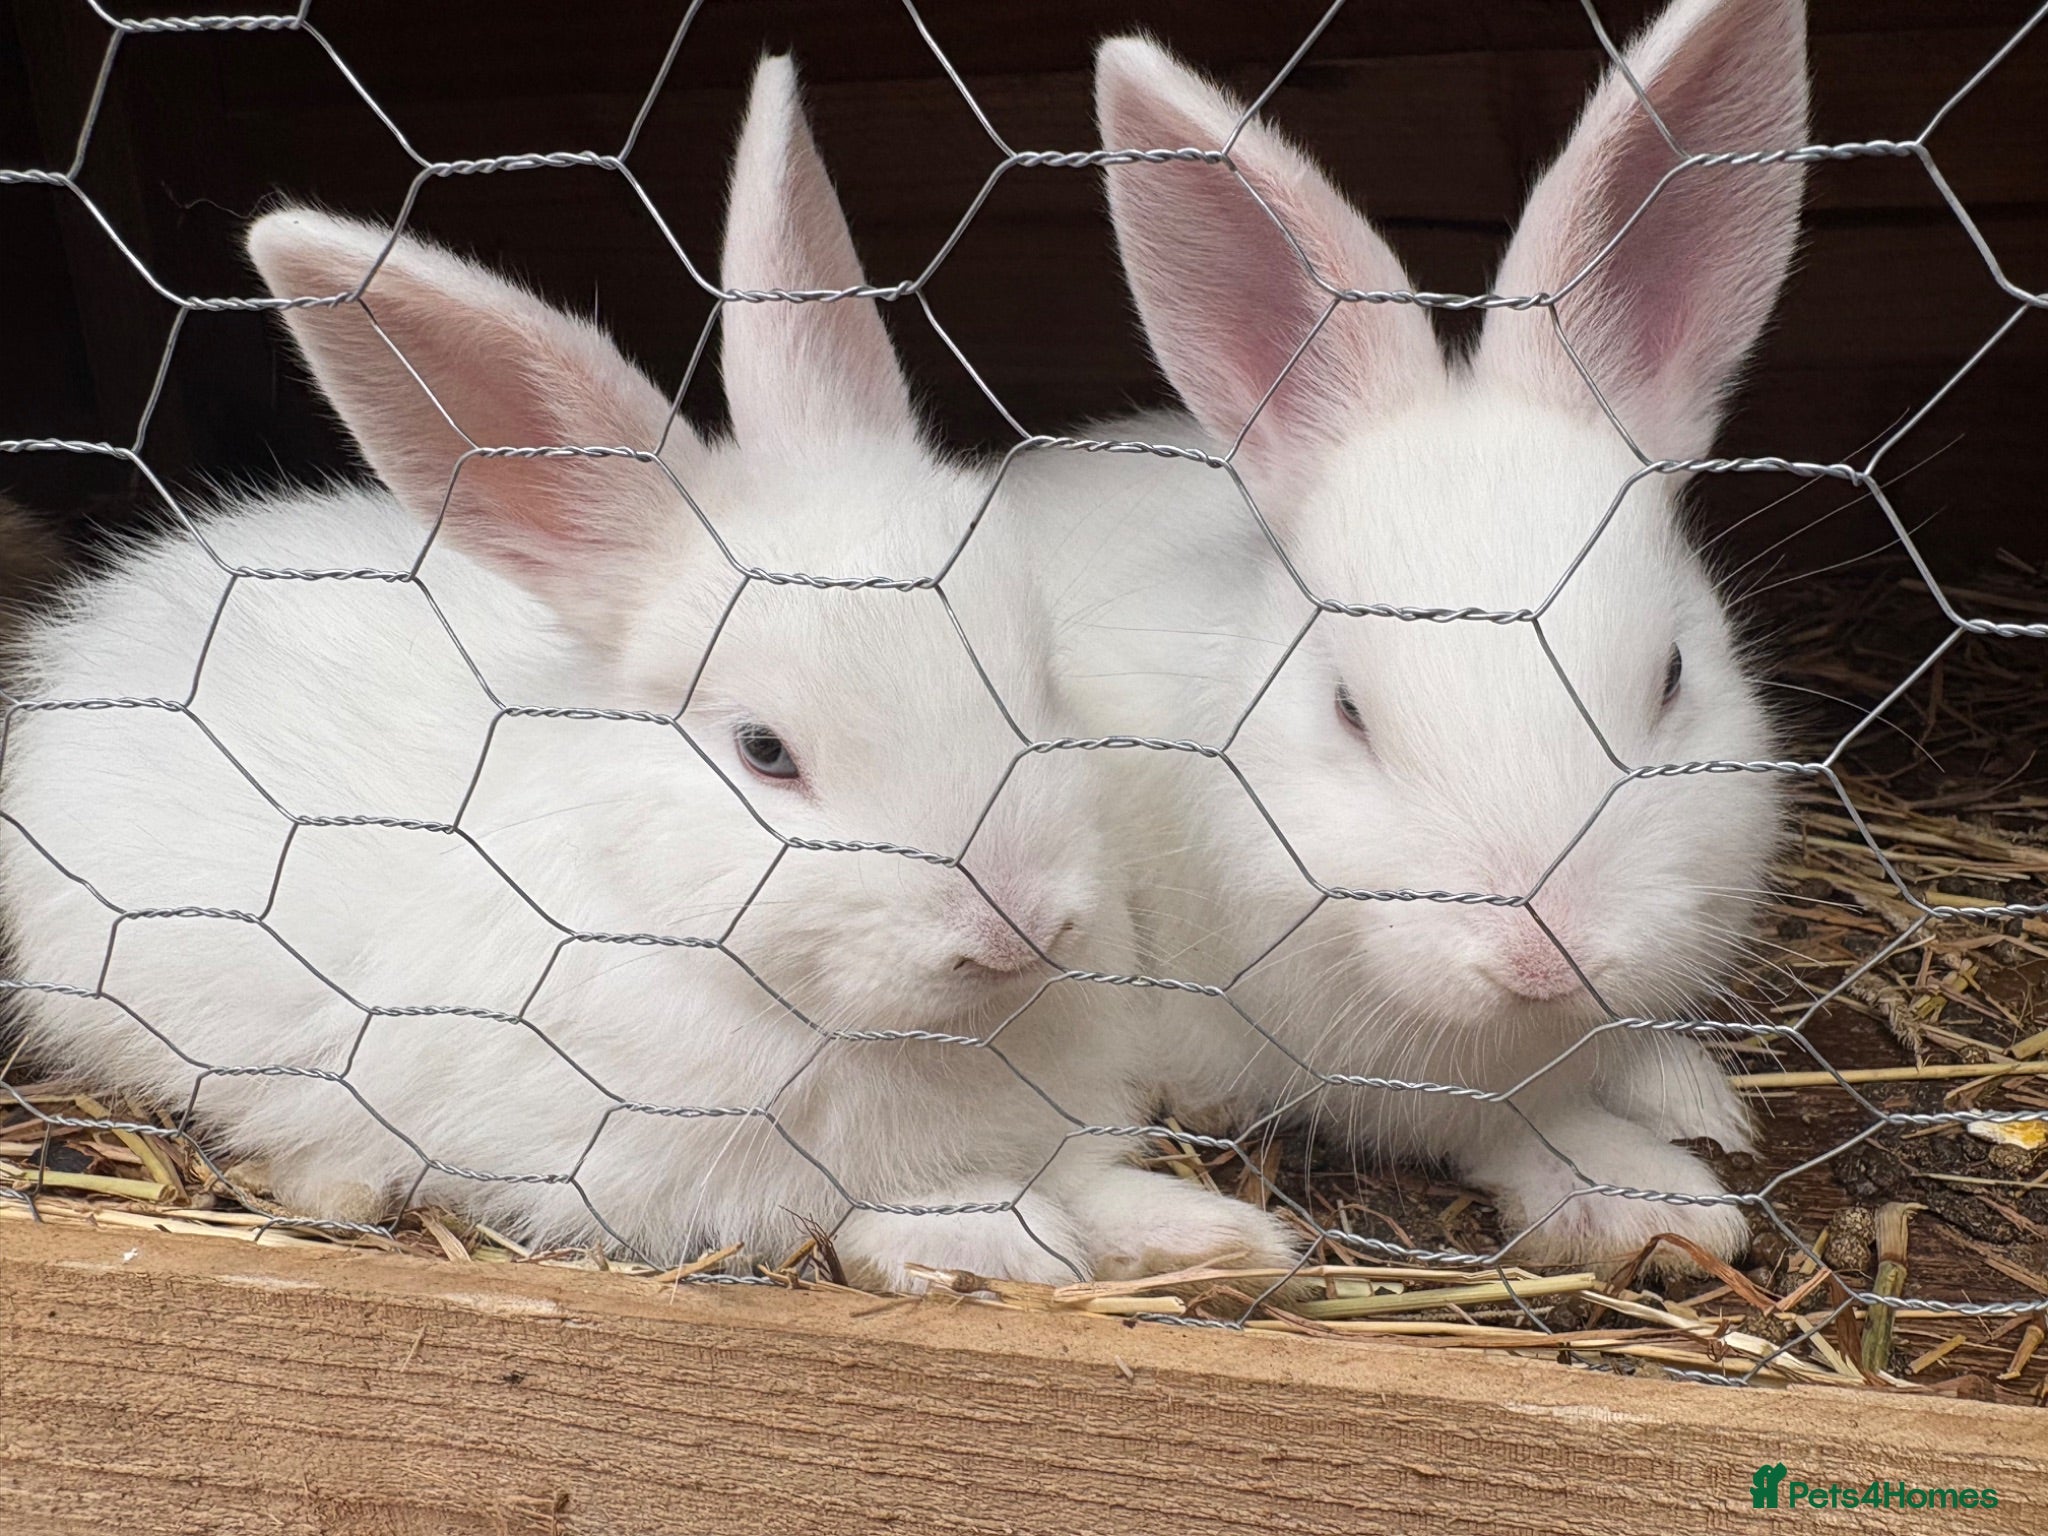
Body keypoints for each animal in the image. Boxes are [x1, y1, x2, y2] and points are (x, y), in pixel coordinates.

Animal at [0, 55, 1298, 1291]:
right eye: (763, 753)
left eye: (1036, 676)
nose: (1017, 925)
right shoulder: (649, 1171)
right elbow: (859, 1213)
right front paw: (1004, 1244)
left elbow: (1090, 1180)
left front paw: (1213, 1236)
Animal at [1024, 0, 1809, 1275]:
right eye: (1347, 710)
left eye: (1671, 676)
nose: (1541, 955)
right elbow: (1505, 1127)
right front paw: (1650, 1201)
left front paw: (1689, 1093)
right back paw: (1206, 1235)